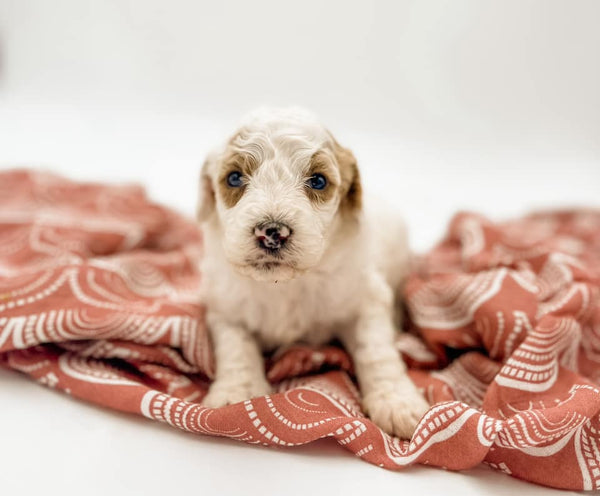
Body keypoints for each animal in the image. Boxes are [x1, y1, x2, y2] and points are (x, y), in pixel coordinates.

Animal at [199, 107, 428, 438]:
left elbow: (376, 350)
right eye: (234, 177)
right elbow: (236, 348)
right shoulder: (226, 306)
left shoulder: (365, 300)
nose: (272, 232)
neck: (284, 283)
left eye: (318, 181)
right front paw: (237, 392)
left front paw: (396, 401)